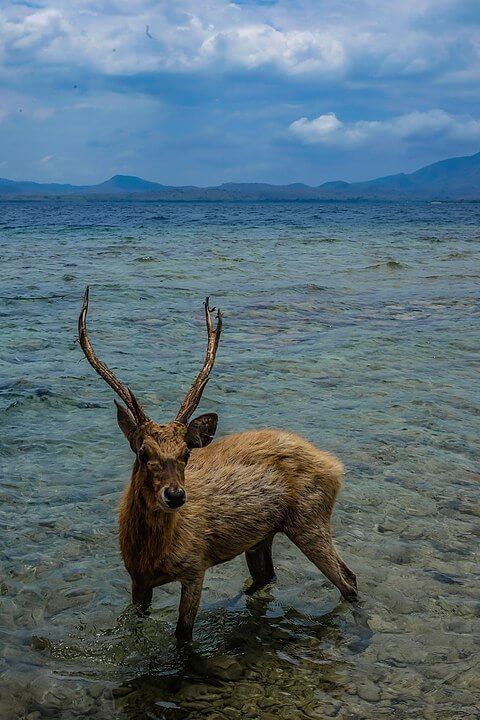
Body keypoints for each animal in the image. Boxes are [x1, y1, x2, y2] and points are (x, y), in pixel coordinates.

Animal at [79, 286, 356, 640]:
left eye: (186, 453)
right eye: (143, 452)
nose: (175, 495)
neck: (150, 555)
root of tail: (335, 465)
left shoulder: (196, 565)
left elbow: (183, 634)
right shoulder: (136, 580)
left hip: (310, 519)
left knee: (348, 580)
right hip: (262, 536)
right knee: (267, 577)